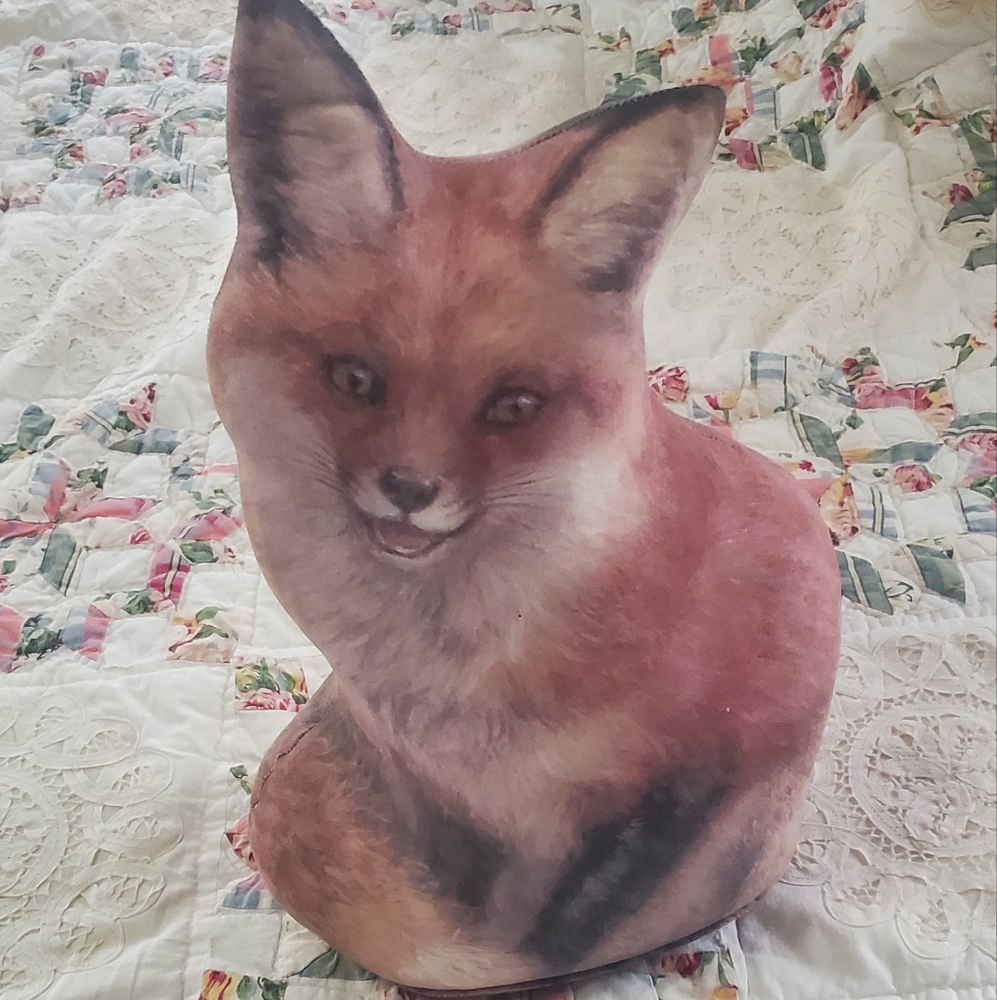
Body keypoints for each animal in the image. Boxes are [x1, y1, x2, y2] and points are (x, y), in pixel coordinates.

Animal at [206, 0, 842, 991]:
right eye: (354, 379)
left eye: (512, 407)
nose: (410, 489)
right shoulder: (417, 778)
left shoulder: (677, 780)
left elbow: (562, 913)